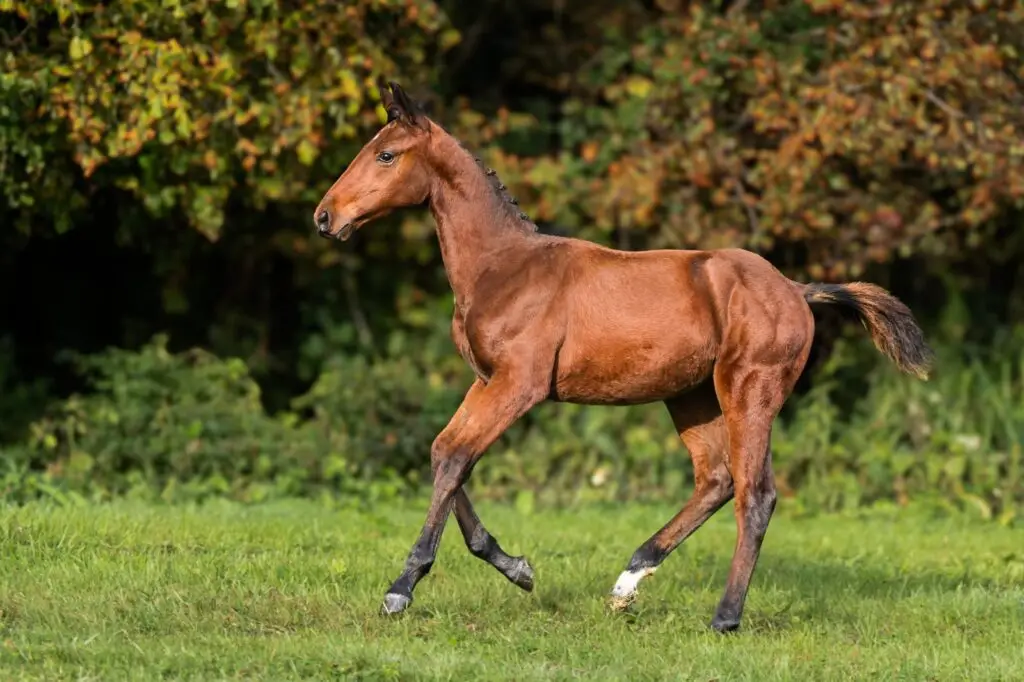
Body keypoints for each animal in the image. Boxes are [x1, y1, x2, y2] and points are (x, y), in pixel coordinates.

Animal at [312, 78, 933, 633]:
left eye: (386, 154)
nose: (324, 217)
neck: (503, 266)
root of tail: (796, 290)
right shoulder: (485, 380)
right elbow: (446, 453)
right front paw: (517, 568)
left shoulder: (519, 383)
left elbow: (455, 457)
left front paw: (401, 590)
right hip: (691, 397)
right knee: (716, 480)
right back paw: (627, 583)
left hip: (749, 390)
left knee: (755, 494)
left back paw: (724, 618)